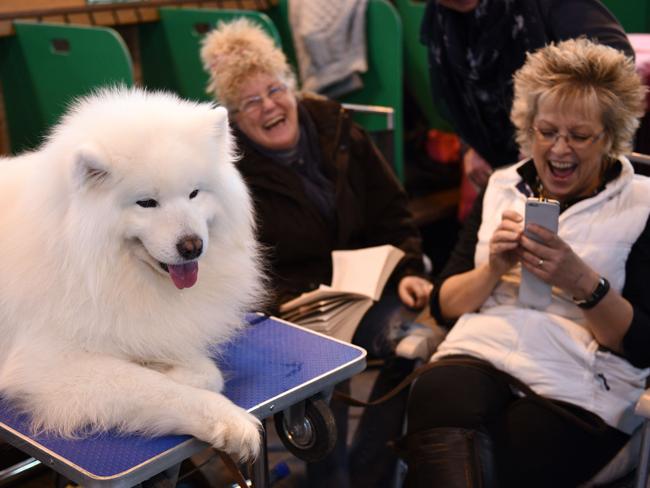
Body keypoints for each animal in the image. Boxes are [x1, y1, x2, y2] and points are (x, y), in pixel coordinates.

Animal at [0, 86, 266, 458]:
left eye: (194, 193)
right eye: (147, 203)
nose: (192, 246)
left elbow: (205, 372)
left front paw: (170, 366)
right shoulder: (48, 364)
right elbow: (158, 389)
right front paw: (228, 418)